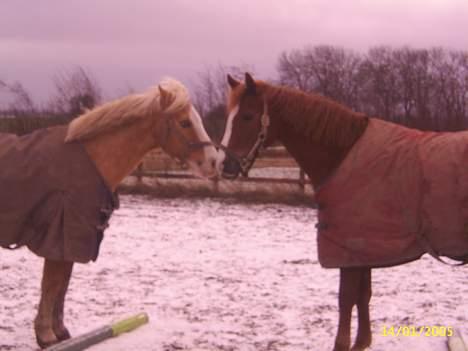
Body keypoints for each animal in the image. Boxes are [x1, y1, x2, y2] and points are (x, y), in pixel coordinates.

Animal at [0, 78, 217, 350]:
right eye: (185, 122)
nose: (213, 162)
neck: (93, 160)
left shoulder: (73, 242)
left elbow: (62, 285)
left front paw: (60, 332)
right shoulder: (60, 239)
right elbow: (51, 285)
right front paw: (46, 336)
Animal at [218, 73, 468, 351]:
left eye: (247, 116)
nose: (224, 166)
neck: (344, 154)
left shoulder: (349, 246)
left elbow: (346, 298)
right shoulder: (362, 250)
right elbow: (363, 295)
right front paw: (362, 342)